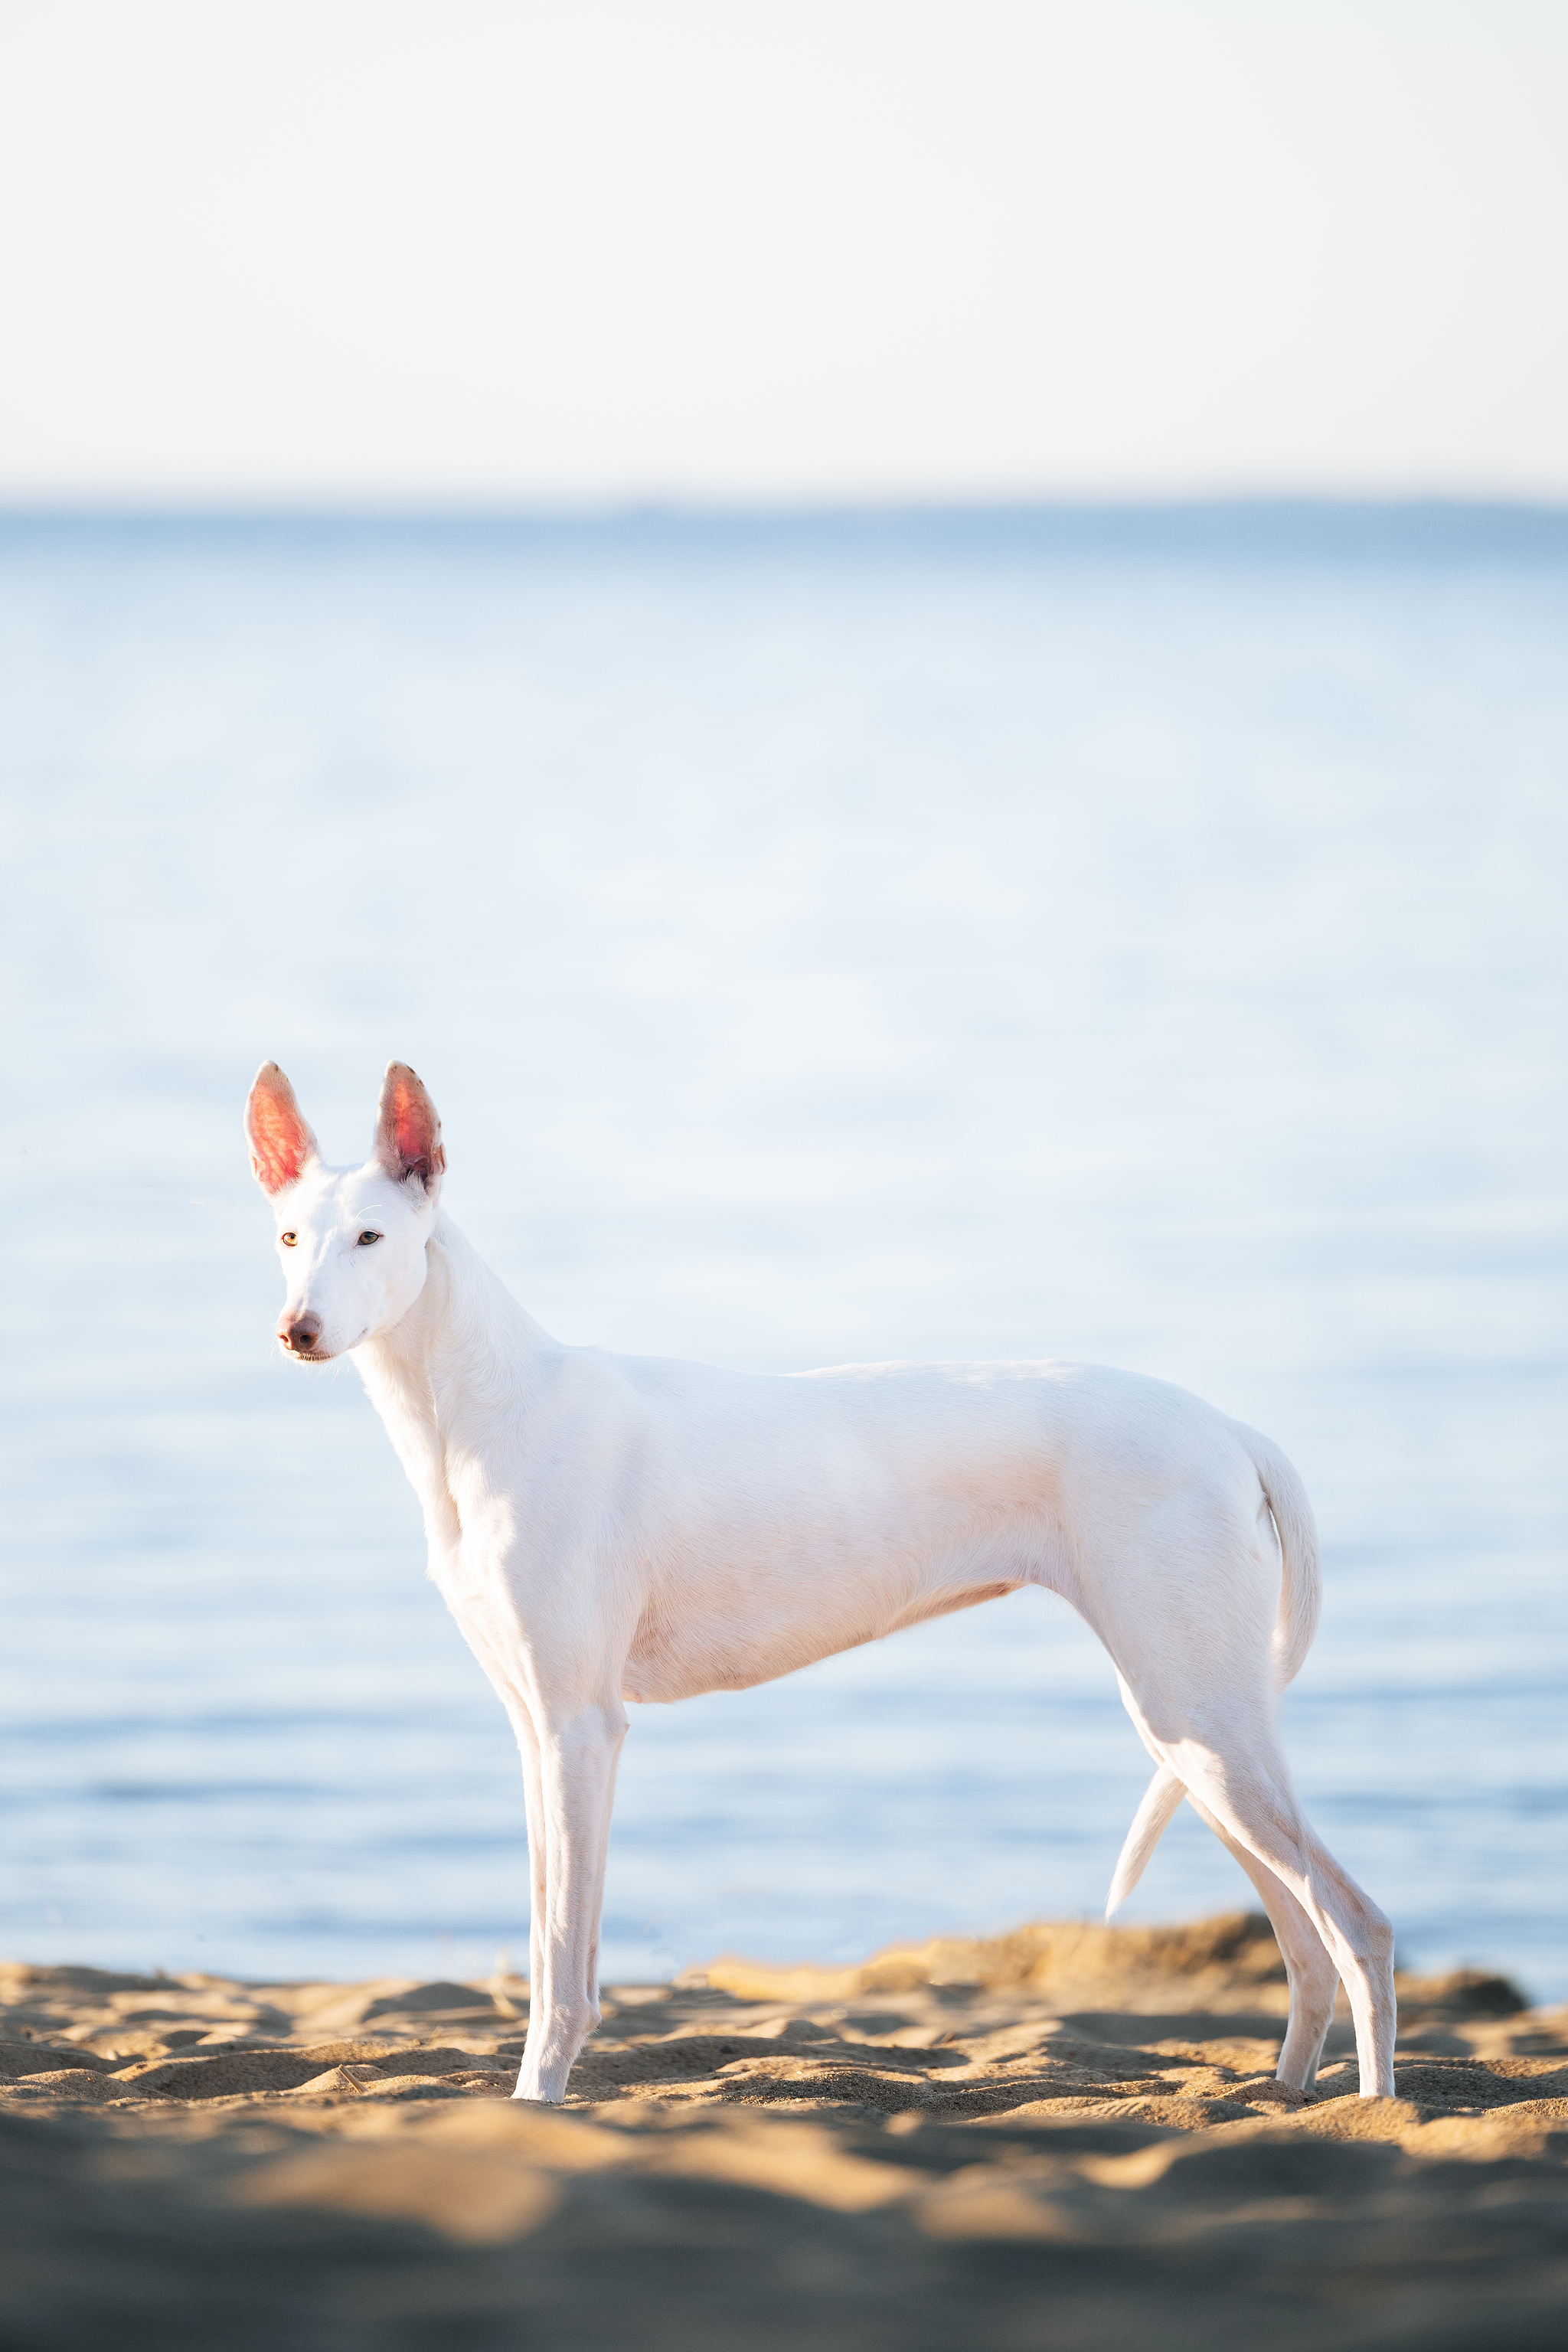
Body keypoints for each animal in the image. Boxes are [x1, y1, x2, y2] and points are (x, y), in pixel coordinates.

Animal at [245, 1058, 1400, 2107]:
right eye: (290, 1238)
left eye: (372, 1239)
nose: (298, 1332)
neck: (493, 1404)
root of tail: (1229, 1427)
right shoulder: (537, 1730)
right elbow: (544, 1943)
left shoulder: (583, 1728)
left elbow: (565, 1972)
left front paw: (537, 2107)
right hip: (1194, 1735)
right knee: (1304, 1938)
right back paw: (1287, 2098)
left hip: (1198, 1718)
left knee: (1360, 1924)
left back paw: (1376, 2106)